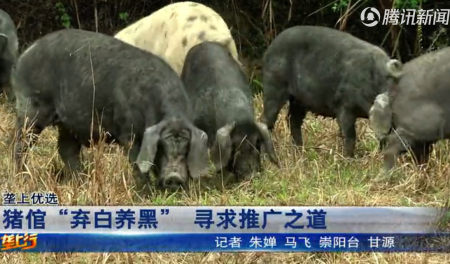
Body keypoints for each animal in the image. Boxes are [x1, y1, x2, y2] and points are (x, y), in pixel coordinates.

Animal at [10, 28, 211, 192]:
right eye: (161, 146)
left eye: (186, 147)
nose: (174, 177)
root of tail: (26, 53)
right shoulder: (129, 132)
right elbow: (137, 162)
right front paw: (146, 193)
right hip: (31, 109)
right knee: (20, 144)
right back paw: (22, 178)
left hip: (67, 124)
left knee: (66, 149)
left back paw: (82, 182)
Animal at [262, 25, 402, 157]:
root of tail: (271, 46)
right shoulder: (344, 105)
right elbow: (349, 134)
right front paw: (348, 159)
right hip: (273, 86)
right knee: (267, 120)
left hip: (299, 100)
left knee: (293, 120)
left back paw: (300, 152)